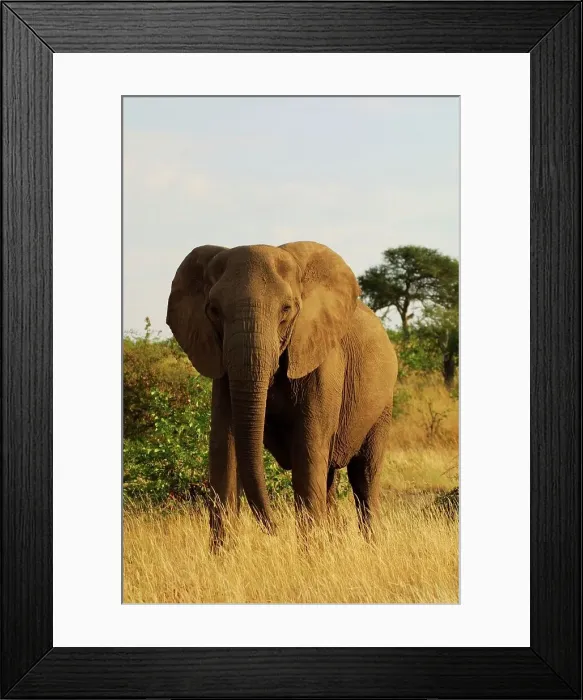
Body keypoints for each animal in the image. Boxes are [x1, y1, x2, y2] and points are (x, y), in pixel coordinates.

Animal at [166, 241, 398, 548]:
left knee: (364, 476)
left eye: (286, 309)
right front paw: (223, 557)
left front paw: (312, 556)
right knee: (330, 479)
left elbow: (308, 449)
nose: (274, 529)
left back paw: (371, 546)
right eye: (213, 310)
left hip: (383, 405)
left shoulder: (320, 356)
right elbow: (223, 449)